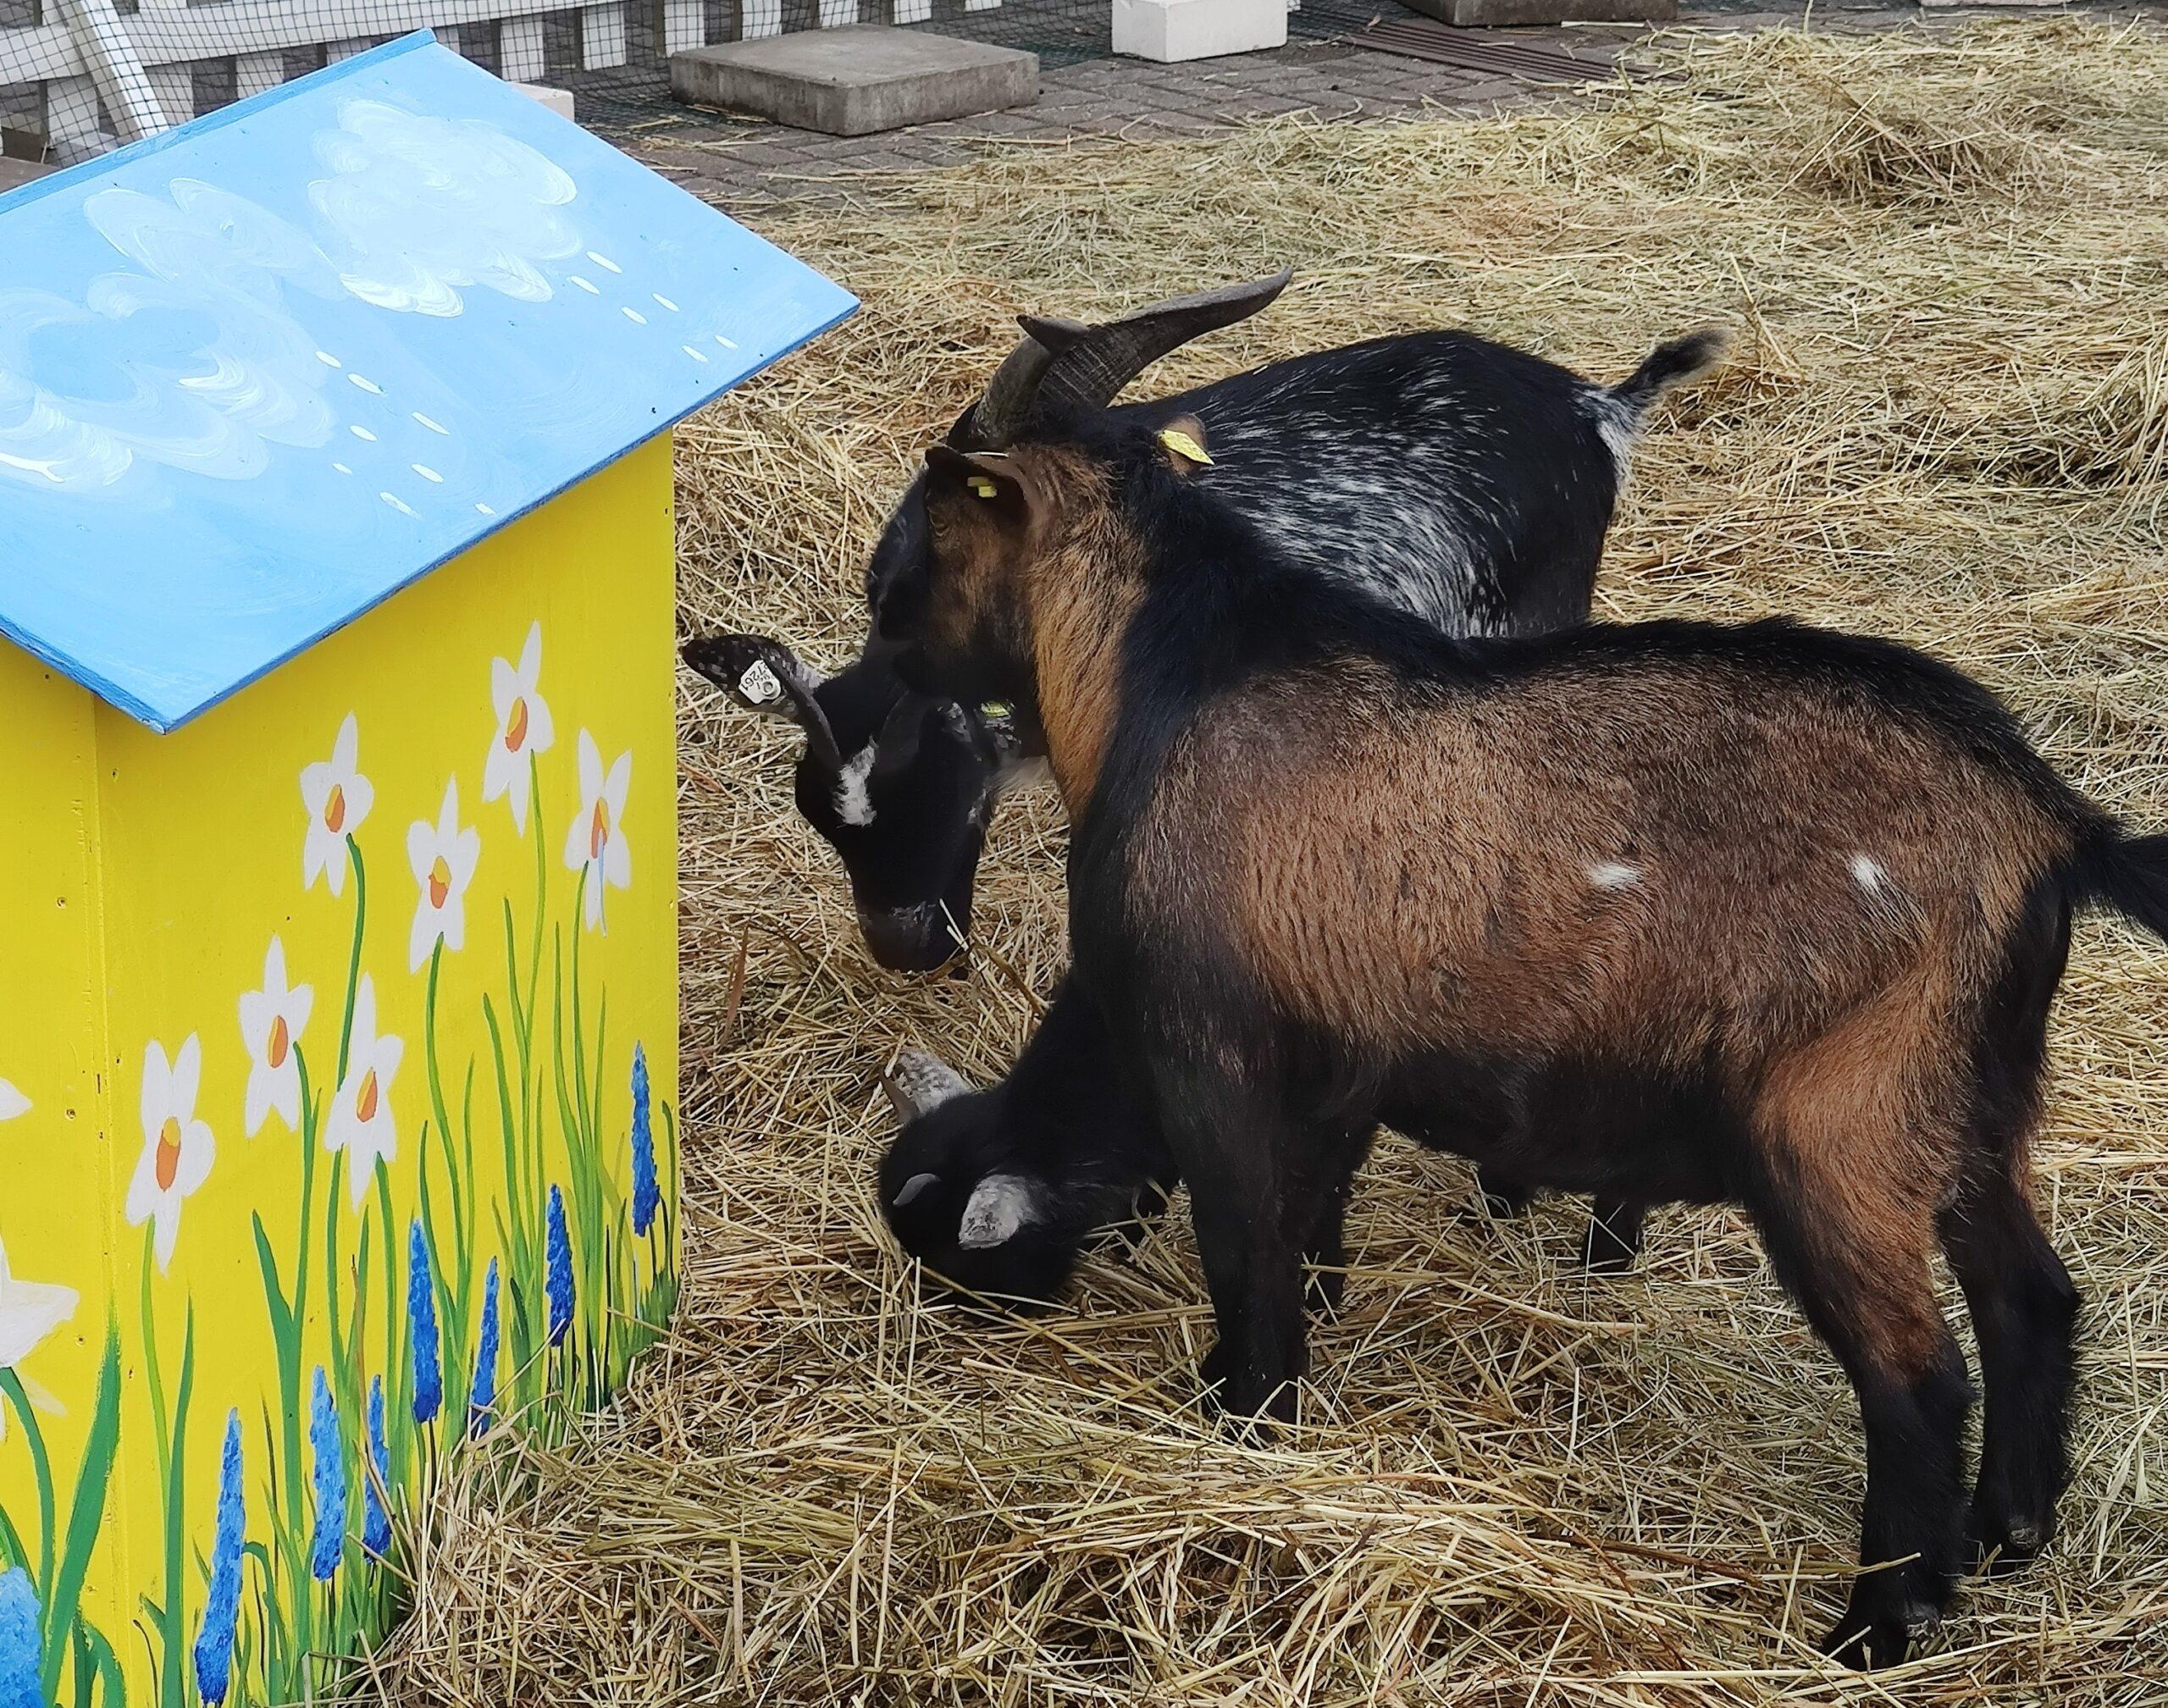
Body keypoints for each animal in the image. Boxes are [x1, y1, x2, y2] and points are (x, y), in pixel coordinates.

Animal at [869, 401, 2168, 1668]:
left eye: (920, 552)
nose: (885, 662)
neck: (1173, 675)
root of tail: (2048, 823)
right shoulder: (1338, 1068)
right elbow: (1308, 1219)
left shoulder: (1213, 1051)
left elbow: (1242, 1249)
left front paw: (1242, 1421)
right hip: (1973, 1096)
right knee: (2030, 1295)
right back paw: (2014, 1529)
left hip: (1842, 1118)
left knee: (1918, 1379)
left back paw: (1875, 1629)